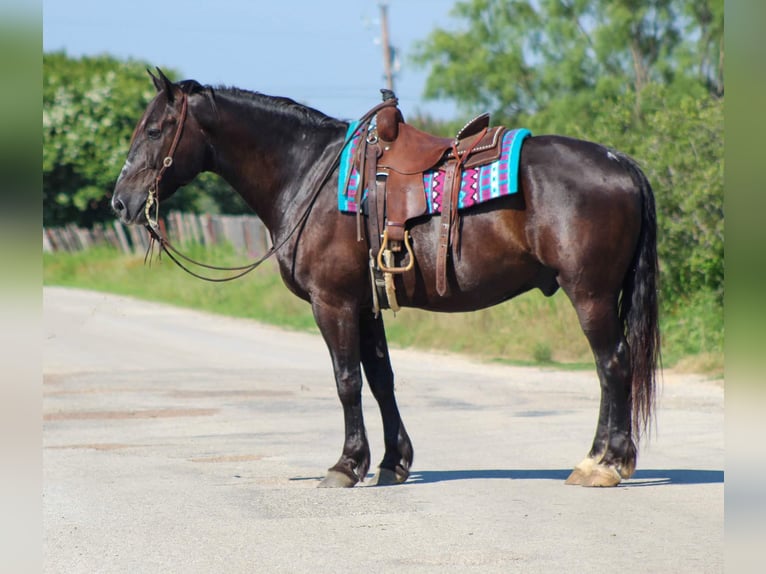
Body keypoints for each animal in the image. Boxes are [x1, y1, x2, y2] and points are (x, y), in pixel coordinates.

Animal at [112, 68, 660, 488]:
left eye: (155, 130)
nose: (121, 201)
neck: (307, 175)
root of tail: (621, 163)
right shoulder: (364, 304)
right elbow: (381, 380)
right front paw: (393, 462)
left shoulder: (332, 303)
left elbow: (347, 381)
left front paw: (346, 464)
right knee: (614, 367)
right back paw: (604, 458)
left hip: (589, 294)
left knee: (612, 365)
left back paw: (605, 464)